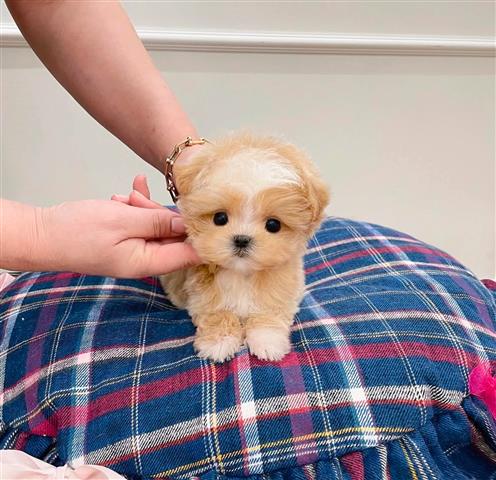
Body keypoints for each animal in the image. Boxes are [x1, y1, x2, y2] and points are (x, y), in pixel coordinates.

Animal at [160, 133, 330, 362]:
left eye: (273, 225)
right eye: (220, 218)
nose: (241, 239)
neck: (242, 273)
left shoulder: (279, 290)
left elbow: (268, 313)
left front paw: (268, 341)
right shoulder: (203, 296)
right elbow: (217, 314)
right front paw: (218, 342)